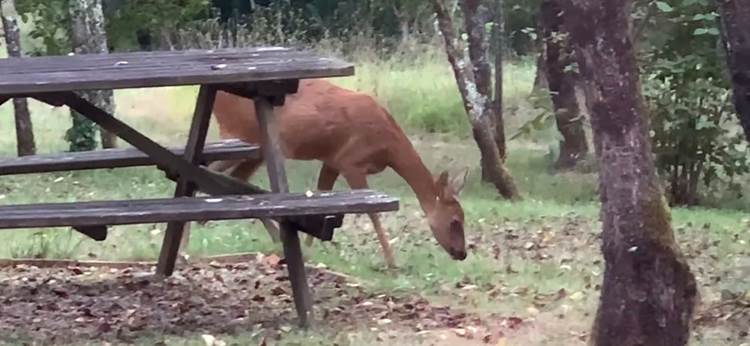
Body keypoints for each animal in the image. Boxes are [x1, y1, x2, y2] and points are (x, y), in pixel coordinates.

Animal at [197, 79, 472, 268]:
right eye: (454, 221)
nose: (462, 253)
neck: (389, 147)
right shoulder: (350, 160)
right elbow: (372, 213)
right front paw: (392, 262)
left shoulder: (331, 160)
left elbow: (322, 193)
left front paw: (310, 250)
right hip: (242, 135)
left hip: (256, 149)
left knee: (235, 179)